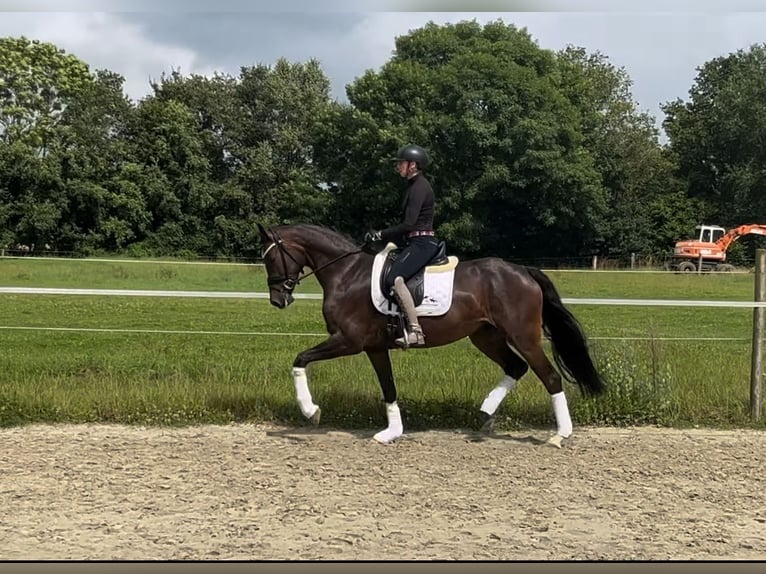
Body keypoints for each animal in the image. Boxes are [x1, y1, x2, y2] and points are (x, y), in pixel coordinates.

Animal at [258, 223, 608, 448]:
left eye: (270, 257)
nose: (278, 300)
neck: (346, 275)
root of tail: (523, 271)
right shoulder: (374, 347)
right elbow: (388, 387)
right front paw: (392, 432)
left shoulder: (349, 341)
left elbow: (300, 360)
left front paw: (310, 411)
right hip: (485, 336)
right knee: (515, 367)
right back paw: (485, 415)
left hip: (523, 337)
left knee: (549, 376)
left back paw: (560, 435)